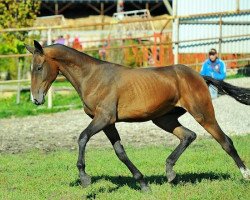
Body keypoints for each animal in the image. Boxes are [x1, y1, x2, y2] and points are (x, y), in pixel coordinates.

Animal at [25, 40, 250, 191]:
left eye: (39, 67)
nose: (36, 99)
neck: (92, 77)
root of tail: (199, 76)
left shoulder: (104, 118)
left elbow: (82, 137)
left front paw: (84, 177)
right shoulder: (108, 123)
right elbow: (120, 152)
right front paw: (142, 183)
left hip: (202, 113)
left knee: (225, 141)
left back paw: (245, 175)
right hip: (163, 118)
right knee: (188, 135)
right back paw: (170, 173)